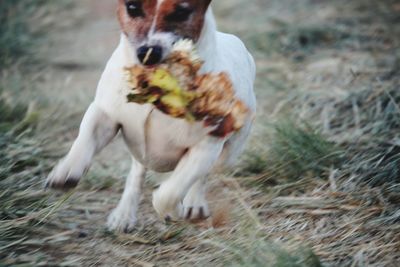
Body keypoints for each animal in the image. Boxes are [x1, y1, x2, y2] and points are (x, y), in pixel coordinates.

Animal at [45, 0, 255, 233]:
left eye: (182, 11)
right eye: (132, 7)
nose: (148, 52)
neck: (155, 87)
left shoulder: (207, 145)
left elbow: (170, 192)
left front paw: (174, 210)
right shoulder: (105, 114)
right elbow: (86, 137)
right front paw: (67, 170)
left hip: (229, 152)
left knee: (202, 176)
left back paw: (193, 203)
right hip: (140, 151)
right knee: (136, 173)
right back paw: (124, 214)